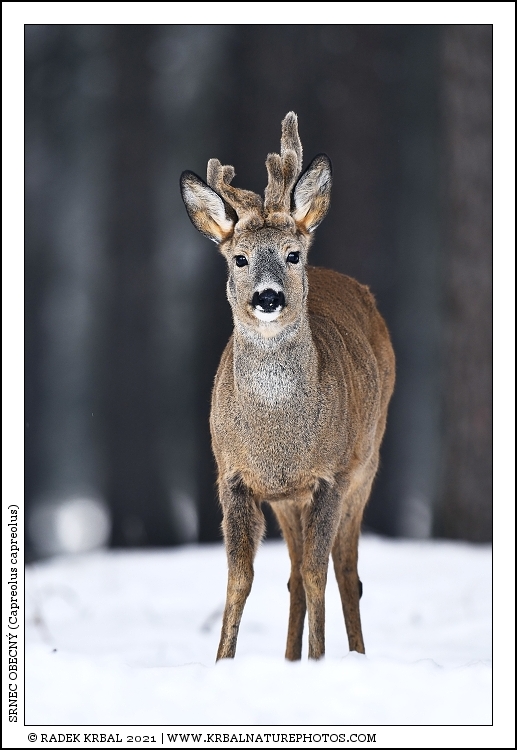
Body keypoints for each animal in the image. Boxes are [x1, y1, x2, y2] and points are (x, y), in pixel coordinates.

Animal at [180, 112, 395, 661]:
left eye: (292, 254)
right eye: (239, 258)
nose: (269, 296)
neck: (278, 440)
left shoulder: (329, 476)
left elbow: (321, 575)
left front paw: (320, 660)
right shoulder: (234, 475)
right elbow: (240, 578)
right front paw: (222, 662)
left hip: (366, 463)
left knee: (346, 572)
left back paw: (354, 656)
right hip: (286, 501)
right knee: (295, 575)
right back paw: (290, 659)